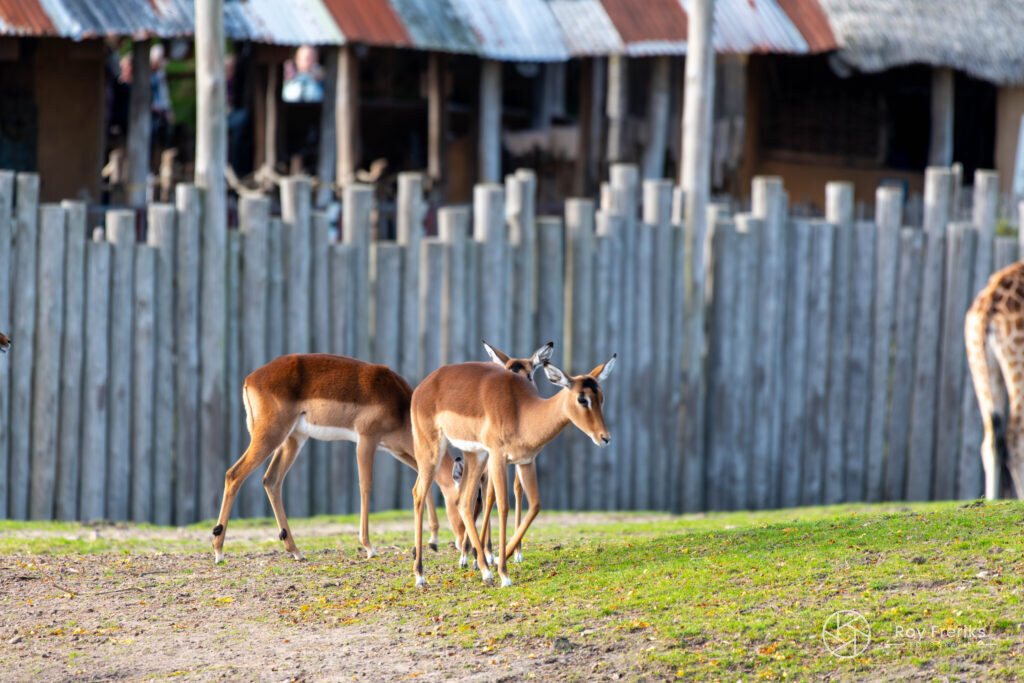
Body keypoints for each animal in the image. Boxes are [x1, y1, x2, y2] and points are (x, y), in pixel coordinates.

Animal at [210, 353, 465, 563]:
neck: (401, 408)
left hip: (294, 438)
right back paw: (219, 551)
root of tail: (251, 379)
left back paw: (296, 551)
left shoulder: (399, 450)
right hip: (270, 436)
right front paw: (369, 547)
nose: (466, 546)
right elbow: (365, 486)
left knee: (271, 480)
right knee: (234, 474)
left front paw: (433, 540)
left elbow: (424, 481)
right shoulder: (366, 440)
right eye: (464, 501)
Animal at [410, 355, 616, 587]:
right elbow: (503, 507)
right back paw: (420, 575)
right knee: (419, 493)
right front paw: (504, 574)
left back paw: (484, 570)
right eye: (582, 399)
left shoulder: (526, 462)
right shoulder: (498, 457)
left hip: (475, 456)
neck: (522, 411)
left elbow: (534, 506)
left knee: (463, 501)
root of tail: (423, 386)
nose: (604, 438)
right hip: (432, 450)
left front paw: (503, 557)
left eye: (601, 397)